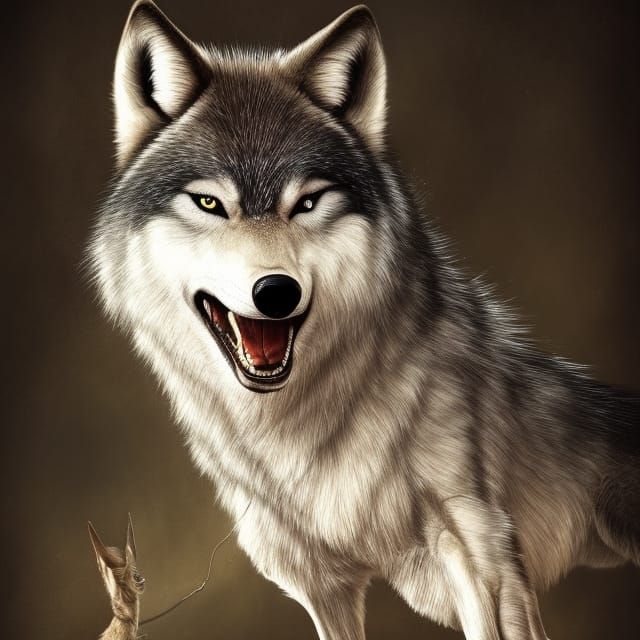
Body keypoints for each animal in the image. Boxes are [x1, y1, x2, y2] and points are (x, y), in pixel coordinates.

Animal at [88, 1, 640, 638]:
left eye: (308, 202)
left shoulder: (486, 558)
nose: (275, 291)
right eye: (209, 203)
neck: (303, 429)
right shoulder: (319, 584)